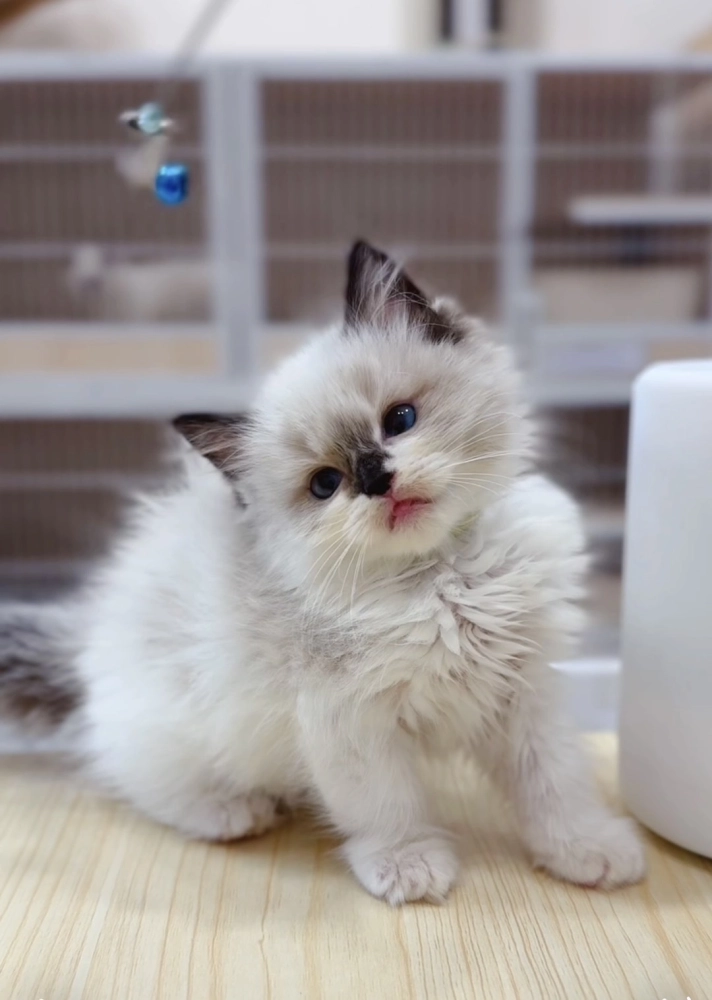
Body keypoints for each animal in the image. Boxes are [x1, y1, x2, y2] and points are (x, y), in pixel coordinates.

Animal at [0, 241, 645, 904]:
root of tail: (85, 643)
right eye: (325, 484)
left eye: (400, 419)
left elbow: (554, 782)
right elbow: (388, 807)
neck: (443, 576)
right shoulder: (348, 721)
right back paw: (232, 811)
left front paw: (587, 850)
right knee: (143, 781)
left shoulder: (523, 691)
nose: (376, 478)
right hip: (174, 726)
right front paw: (409, 866)